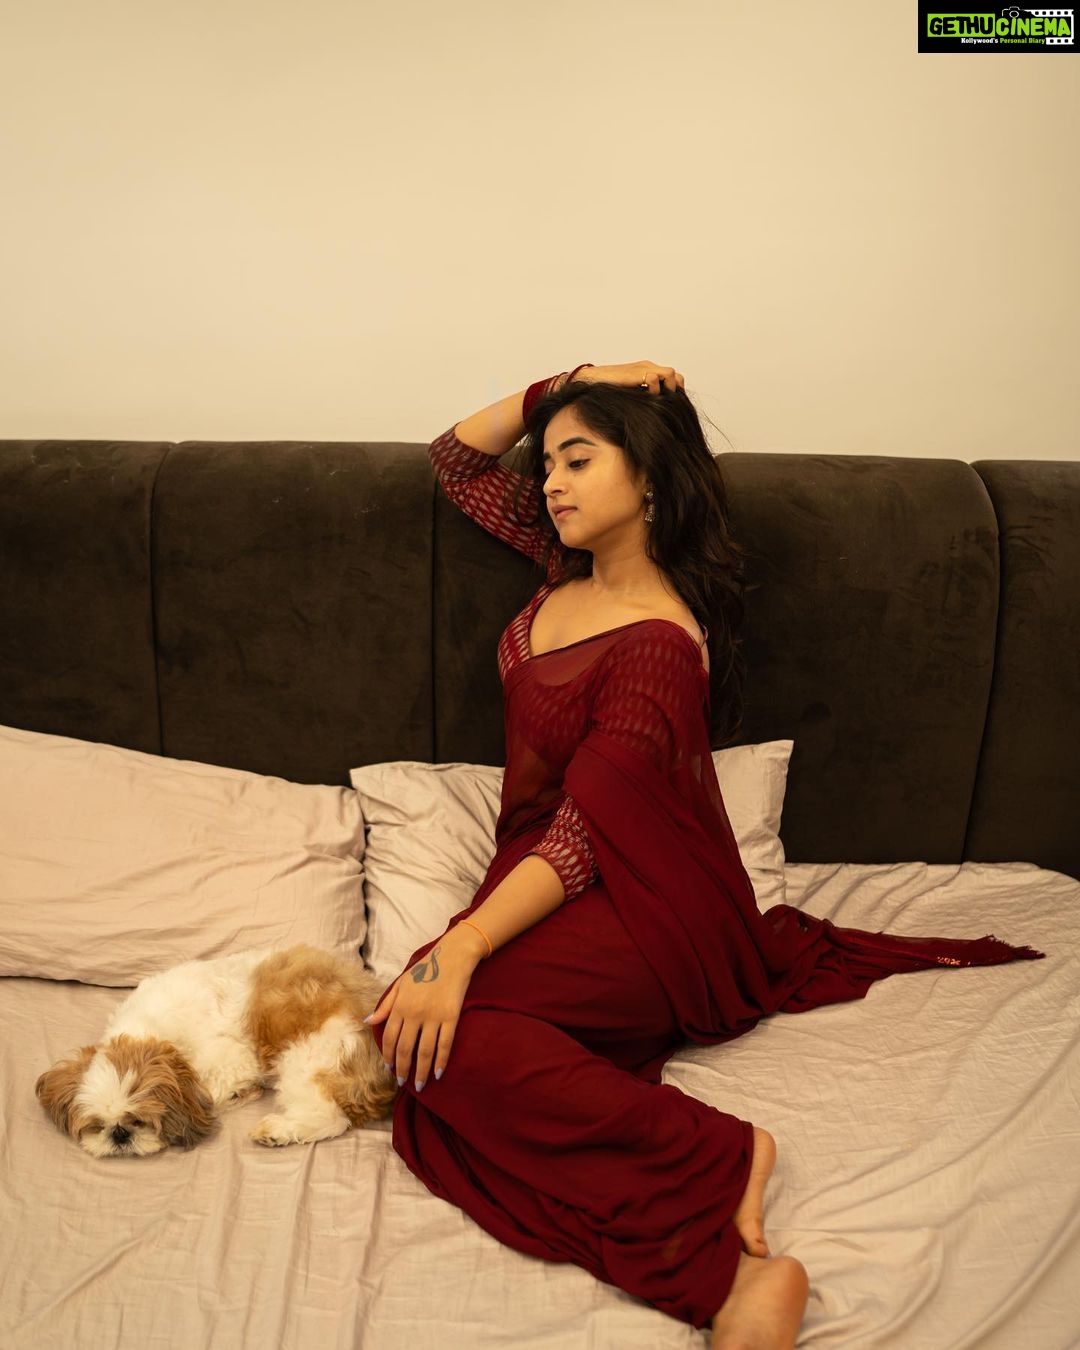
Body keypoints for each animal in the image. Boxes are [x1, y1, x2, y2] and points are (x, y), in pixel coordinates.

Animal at [35, 944, 398, 1157]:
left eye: (139, 1121)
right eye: (97, 1125)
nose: (119, 1134)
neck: (150, 1026)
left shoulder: (232, 1060)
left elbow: (212, 1088)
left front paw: (236, 1095)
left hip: (310, 1057)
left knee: (331, 1117)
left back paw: (277, 1131)